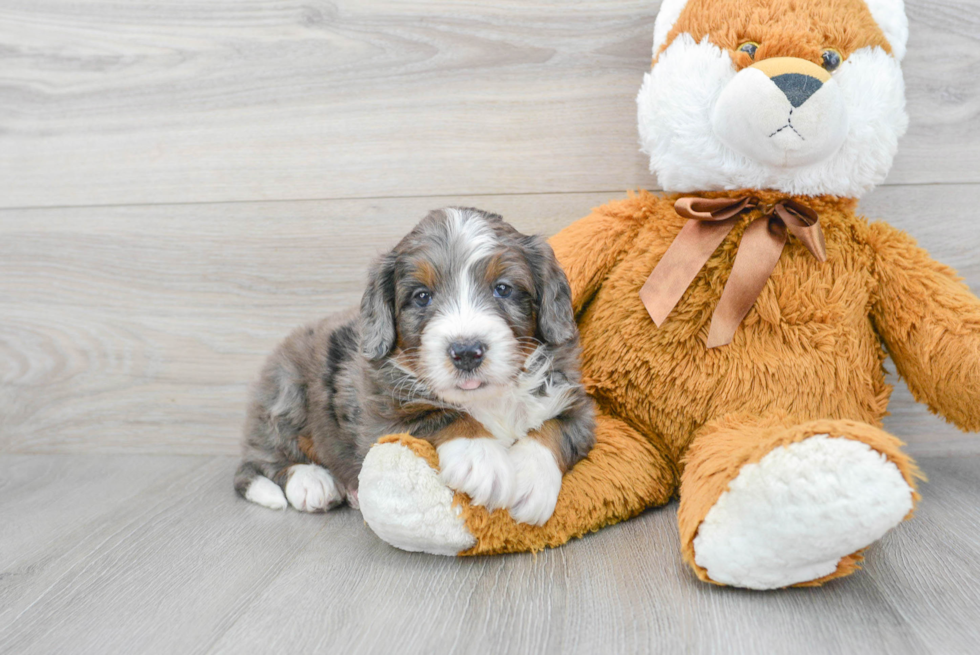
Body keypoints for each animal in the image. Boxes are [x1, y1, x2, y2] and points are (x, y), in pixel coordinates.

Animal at [234, 209, 592, 528]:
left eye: (503, 288)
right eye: (422, 296)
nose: (466, 352)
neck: (487, 398)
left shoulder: (577, 401)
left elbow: (556, 428)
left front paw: (532, 480)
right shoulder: (380, 419)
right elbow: (439, 414)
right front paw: (481, 458)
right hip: (286, 393)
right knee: (265, 458)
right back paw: (312, 482)